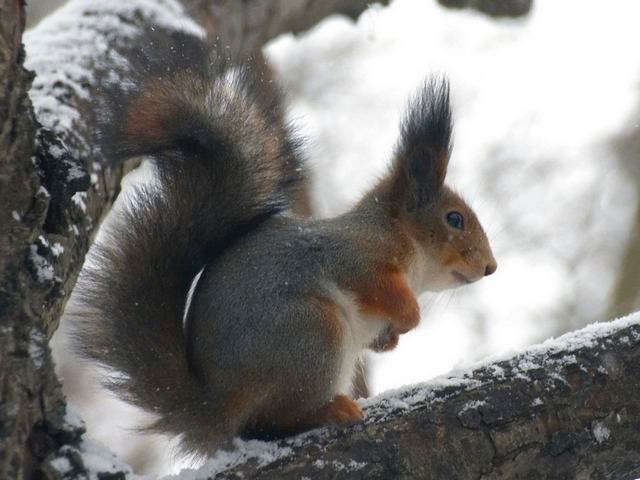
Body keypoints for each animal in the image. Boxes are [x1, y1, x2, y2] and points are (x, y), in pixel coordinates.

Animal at [72, 30, 497, 458]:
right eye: (454, 219)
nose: (490, 267)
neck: (403, 239)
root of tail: (215, 408)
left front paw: (389, 339)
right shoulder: (357, 255)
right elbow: (378, 287)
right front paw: (410, 317)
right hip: (313, 334)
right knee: (269, 422)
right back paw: (329, 411)